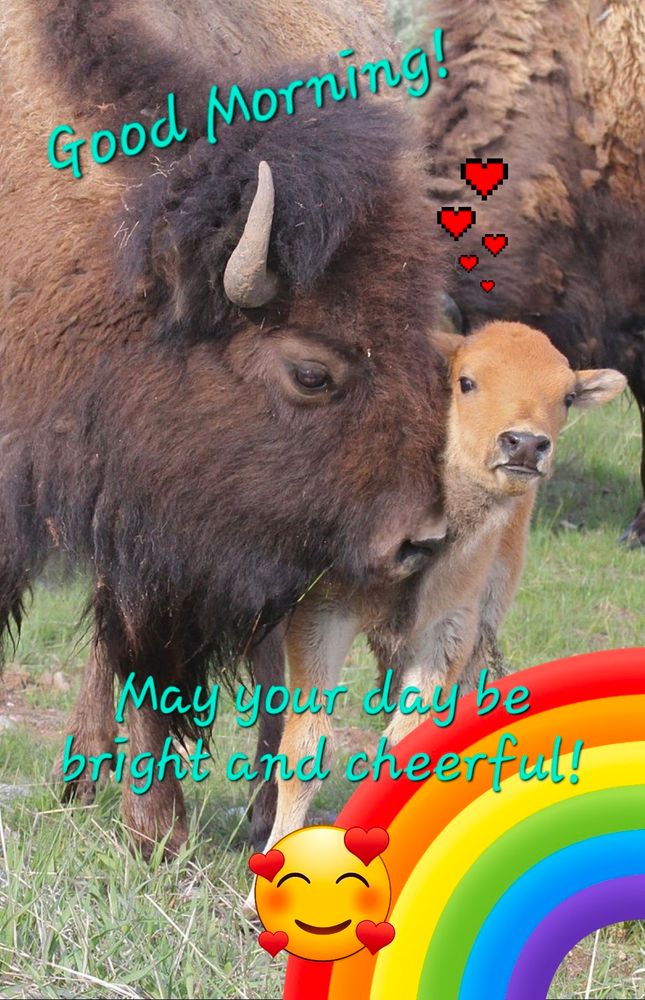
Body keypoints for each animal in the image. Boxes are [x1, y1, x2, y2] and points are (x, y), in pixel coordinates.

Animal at [0, 0, 451, 855]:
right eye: (310, 373)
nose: (421, 539)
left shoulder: (162, 527)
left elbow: (148, 650)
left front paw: (157, 833)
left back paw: (249, 811)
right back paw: (84, 775)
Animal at [254, 322, 625, 863]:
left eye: (568, 397)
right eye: (466, 382)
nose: (524, 444)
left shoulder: (447, 631)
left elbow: (405, 747)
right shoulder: (325, 613)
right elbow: (305, 747)